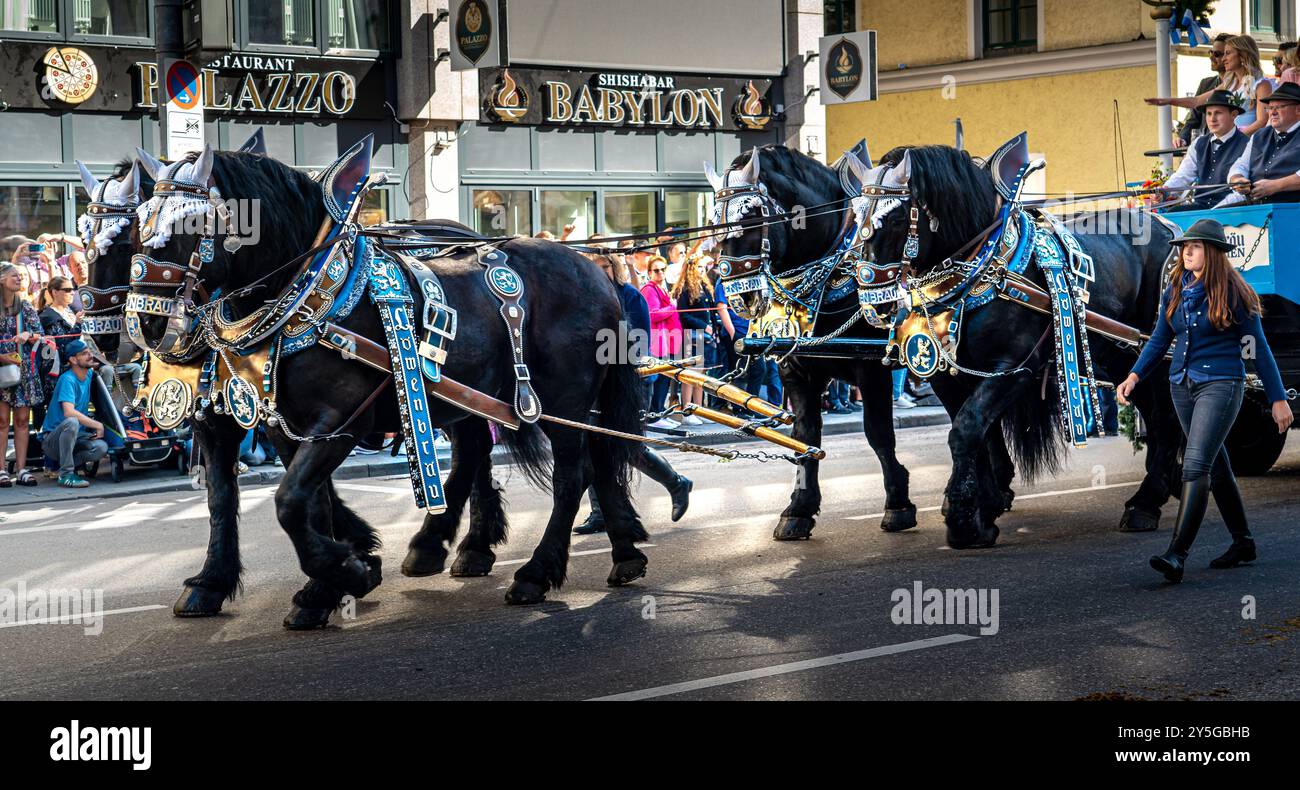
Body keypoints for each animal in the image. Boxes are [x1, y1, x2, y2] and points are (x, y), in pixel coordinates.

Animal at [128, 148, 650, 626]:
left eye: (190, 222)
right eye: (139, 221)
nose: (145, 324)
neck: (315, 296)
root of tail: (597, 271)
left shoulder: (341, 421)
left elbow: (290, 503)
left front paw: (349, 572)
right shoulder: (280, 424)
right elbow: (289, 501)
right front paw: (323, 584)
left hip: (564, 400)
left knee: (571, 476)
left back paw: (534, 573)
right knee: (551, 457)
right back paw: (614, 553)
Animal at [868, 144, 1185, 545]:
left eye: (895, 220)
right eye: (856, 215)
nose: (872, 299)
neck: (988, 269)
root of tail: (1166, 227)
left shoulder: (1013, 369)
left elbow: (966, 430)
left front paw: (963, 520)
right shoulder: (950, 375)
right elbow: (979, 436)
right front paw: (984, 508)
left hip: (1158, 352)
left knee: (1167, 418)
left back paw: (1145, 503)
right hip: (1122, 359)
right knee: (1154, 414)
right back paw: (1164, 488)